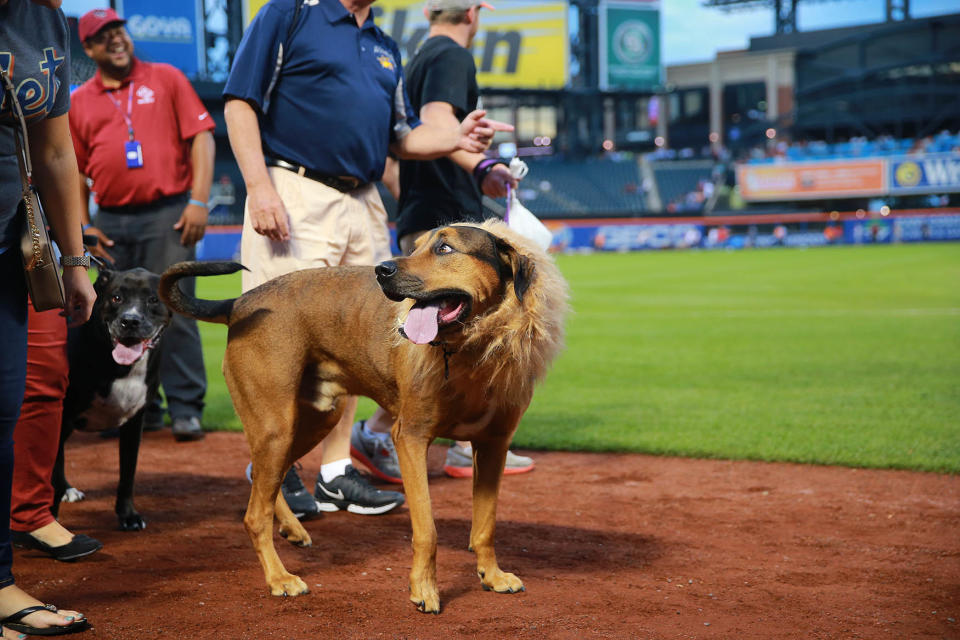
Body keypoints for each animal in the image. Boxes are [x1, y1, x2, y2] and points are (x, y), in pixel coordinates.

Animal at [51, 264, 171, 528]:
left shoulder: (134, 421)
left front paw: (128, 516)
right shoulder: (59, 414)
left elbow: (127, 473)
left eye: (153, 299)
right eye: (116, 297)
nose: (130, 320)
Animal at [154, 221, 568, 616]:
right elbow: (427, 531)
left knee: (260, 478)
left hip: (314, 420)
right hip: (277, 426)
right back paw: (279, 577)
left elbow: (485, 525)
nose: (381, 269)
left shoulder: (493, 445)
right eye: (416, 245)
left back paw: (291, 528)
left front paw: (492, 575)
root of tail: (240, 302)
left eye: (445, 248)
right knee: (254, 514)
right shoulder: (411, 438)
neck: (472, 347)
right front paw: (424, 591)